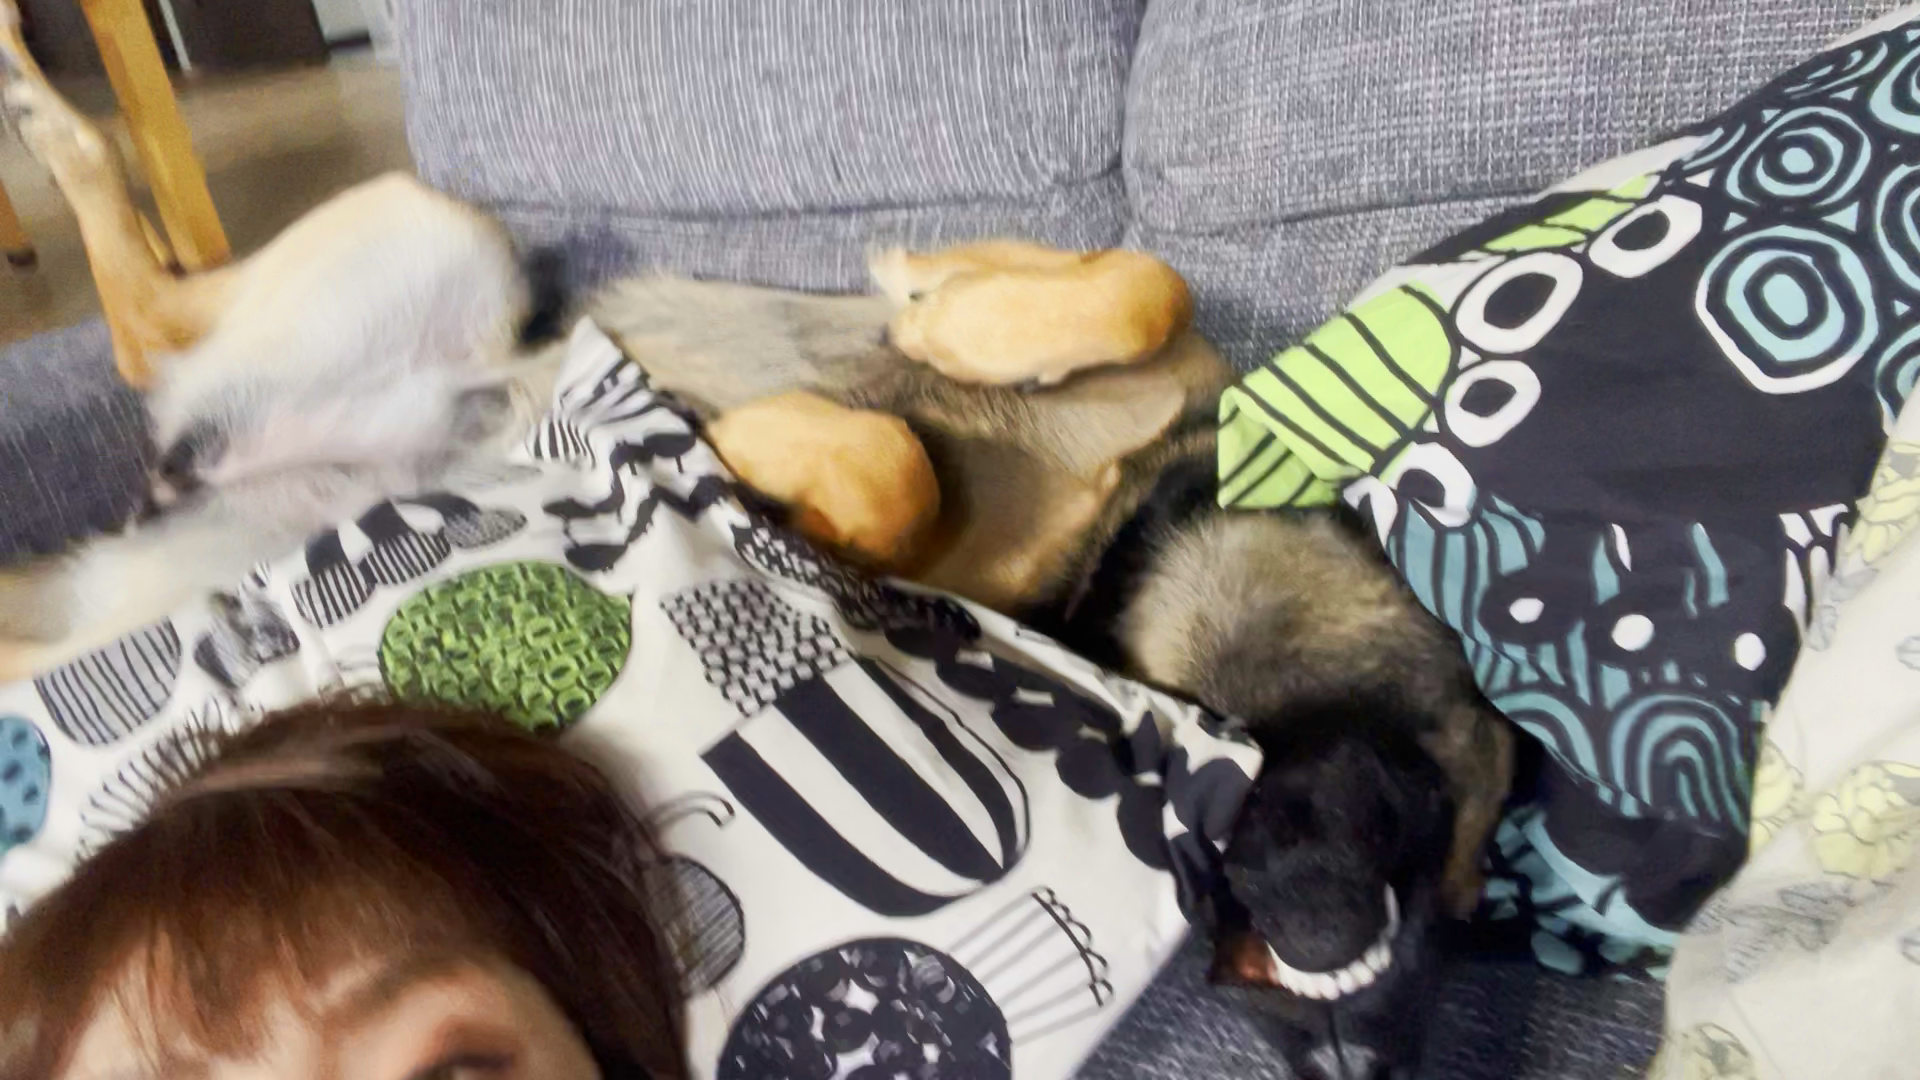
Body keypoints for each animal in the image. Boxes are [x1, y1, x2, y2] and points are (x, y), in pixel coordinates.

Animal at [0, 11, 1511, 1077]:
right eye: (1433, 810)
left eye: (1464, 891)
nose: (1354, 1045)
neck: (1132, 526)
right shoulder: (1146, 348)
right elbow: (1134, 285)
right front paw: (931, 318)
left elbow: (892, 478)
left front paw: (782, 462)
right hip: (449, 230)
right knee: (150, 318)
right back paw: (36, 95)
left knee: (140, 361)